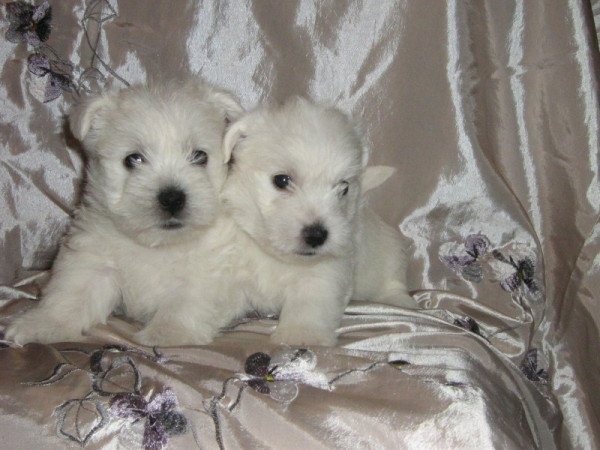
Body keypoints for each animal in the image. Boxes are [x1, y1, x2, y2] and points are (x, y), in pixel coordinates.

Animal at [5, 78, 243, 344]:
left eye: (200, 156)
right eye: (133, 159)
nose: (172, 198)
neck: (158, 245)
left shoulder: (210, 268)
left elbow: (186, 301)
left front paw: (166, 332)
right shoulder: (94, 260)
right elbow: (72, 293)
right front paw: (43, 324)